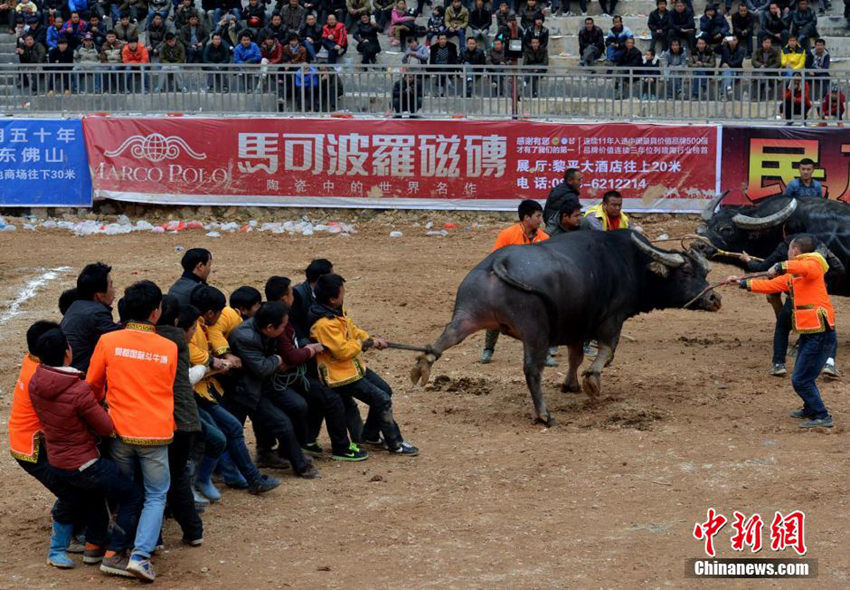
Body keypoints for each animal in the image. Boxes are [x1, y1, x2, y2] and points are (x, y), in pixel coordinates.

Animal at [408, 229, 720, 428]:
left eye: (704, 272)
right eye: (687, 272)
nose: (714, 298)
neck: (631, 262)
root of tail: (499, 260)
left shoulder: (576, 327)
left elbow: (575, 356)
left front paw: (571, 385)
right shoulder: (612, 319)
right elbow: (606, 351)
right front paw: (592, 382)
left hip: (468, 313)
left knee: (445, 338)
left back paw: (421, 367)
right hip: (535, 332)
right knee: (532, 370)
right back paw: (544, 415)